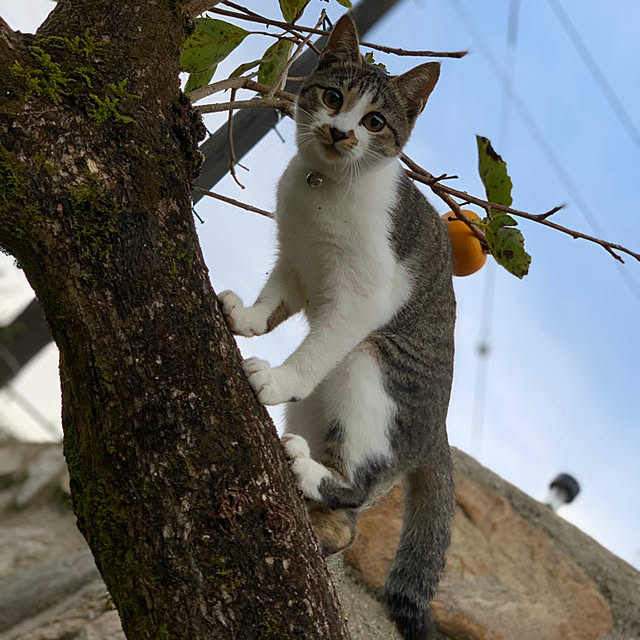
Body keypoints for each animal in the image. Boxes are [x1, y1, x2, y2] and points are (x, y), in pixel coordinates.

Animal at [218, 14, 456, 640]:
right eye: (332, 98)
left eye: (375, 121)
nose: (341, 132)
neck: (325, 188)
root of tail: (438, 431)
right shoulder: (296, 259)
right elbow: (276, 298)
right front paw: (247, 318)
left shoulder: (364, 299)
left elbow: (317, 345)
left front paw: (278, 377)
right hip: (320, 411)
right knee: (347, 525)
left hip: (373, 361)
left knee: (360, 485)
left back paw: (315, 474)